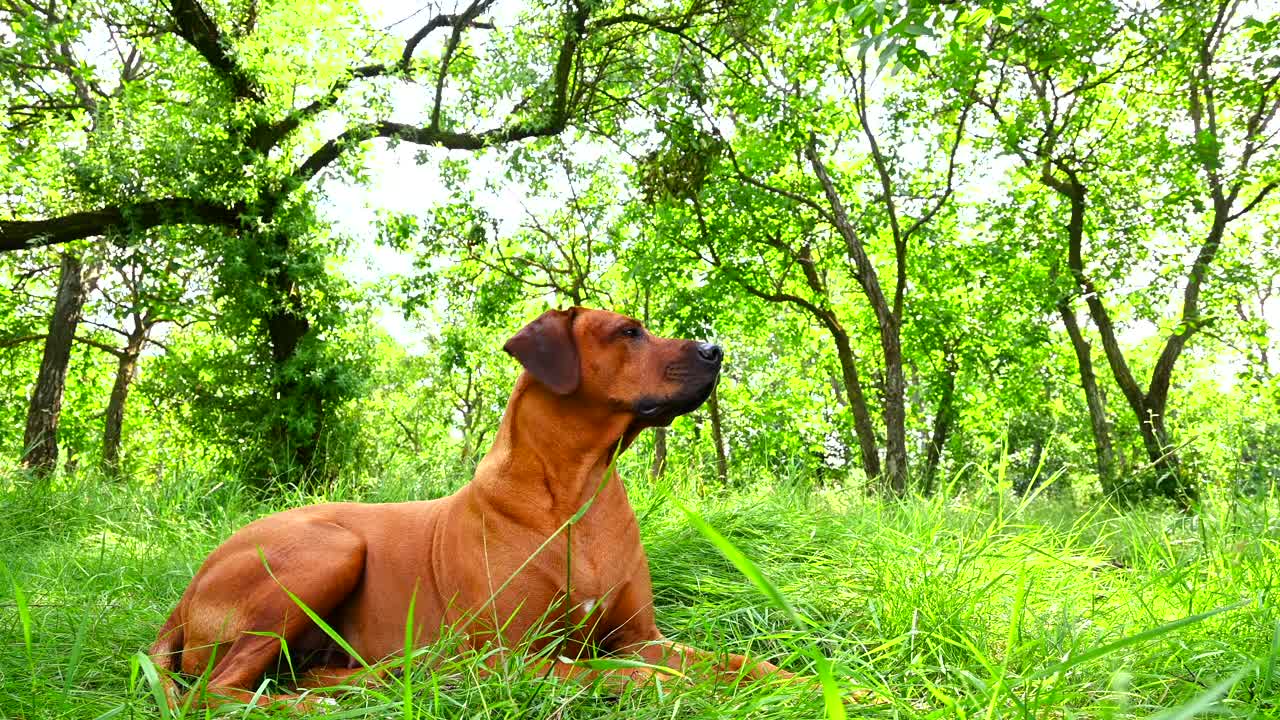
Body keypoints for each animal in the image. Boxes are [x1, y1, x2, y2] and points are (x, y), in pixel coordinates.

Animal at [149, 304, 788, 702]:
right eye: (628, 332)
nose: (716, 349)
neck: (575, 496)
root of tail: (185, 596)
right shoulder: (506, 655)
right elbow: (612, 673)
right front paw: (682, 689)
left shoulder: (641, 637)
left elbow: (733, 662)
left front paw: (798, 681)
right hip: (327, 548)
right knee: (216, 691)